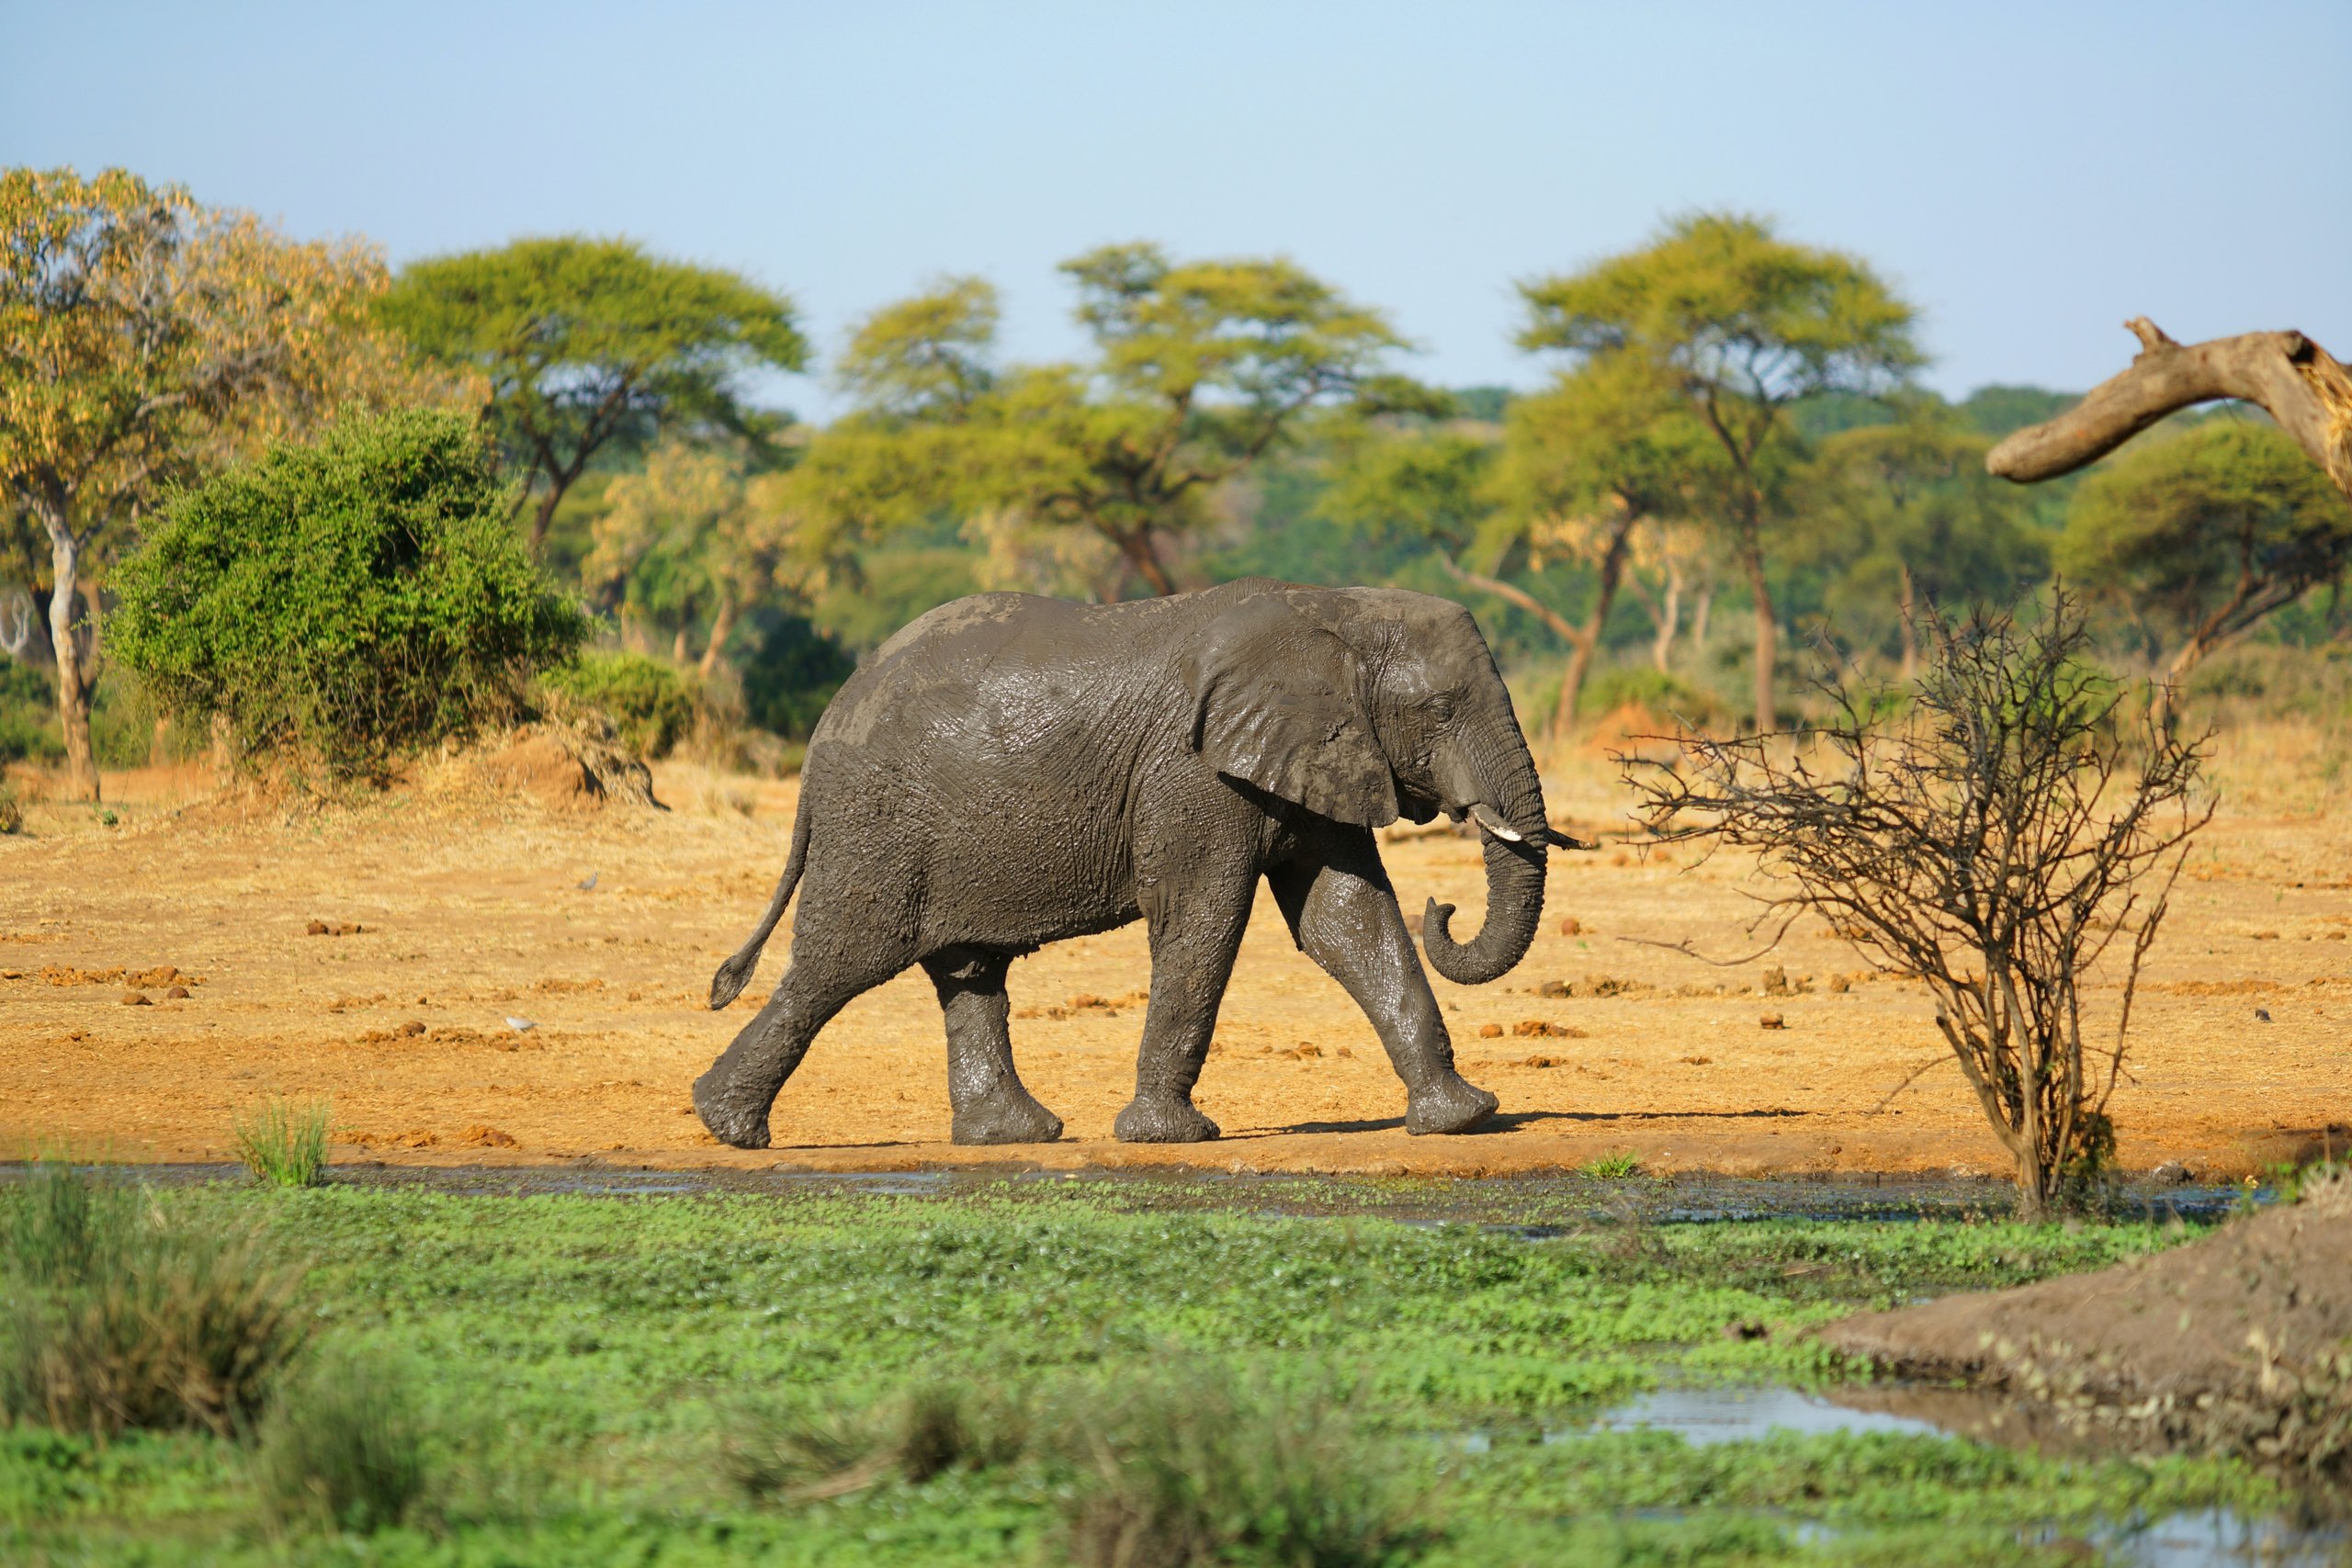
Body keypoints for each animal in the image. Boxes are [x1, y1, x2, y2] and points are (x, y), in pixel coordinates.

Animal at [693, 577, 1583, 1150]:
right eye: (1439, 709)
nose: (1449, 906)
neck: (1333, 609)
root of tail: (824, 725)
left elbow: (1348, 921)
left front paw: (1465, 1118)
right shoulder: (1192, 774)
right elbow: (1205, 919)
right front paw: (1171, 1137)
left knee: (968, 971)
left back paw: (1014, 1136)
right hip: (878, 824)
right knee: (839, 963)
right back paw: (727, 1128)